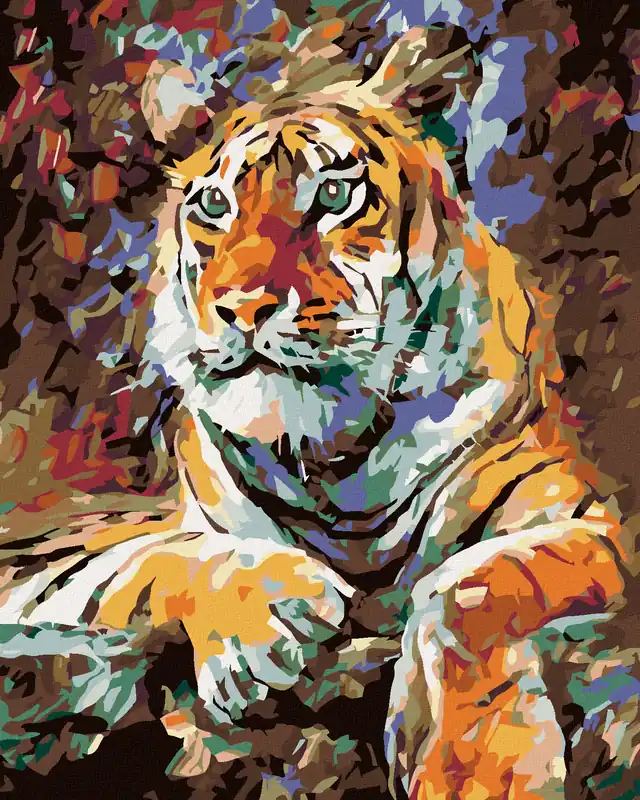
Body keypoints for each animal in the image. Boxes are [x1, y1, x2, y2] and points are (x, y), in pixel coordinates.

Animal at [0, 25, 633, 799]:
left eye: (332, 194)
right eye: (215, 206)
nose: (242, 307)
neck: (337, 460)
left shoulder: (590, 525)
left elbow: (475, 584)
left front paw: (479, 768)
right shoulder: (60, 564)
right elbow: (153, 559)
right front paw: (266, 617)